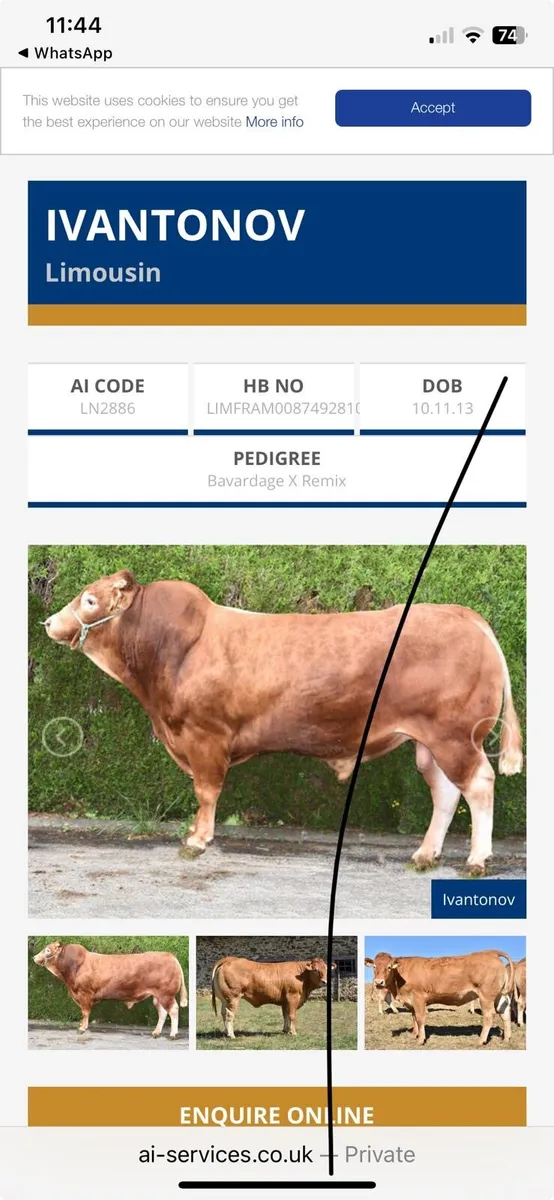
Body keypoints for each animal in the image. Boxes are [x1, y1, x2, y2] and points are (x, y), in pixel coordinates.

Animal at [33, 942, 187, 1038]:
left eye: (47, 950)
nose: (34, 957)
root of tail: (171, 956)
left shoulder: (84, 994)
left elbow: (85, 1012)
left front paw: (82, 1028)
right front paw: (82, 1026)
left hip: (166, 994)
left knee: (173, 1010)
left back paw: (173, 1034)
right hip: (157, 996)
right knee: (162, 1012)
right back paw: (156, 1032)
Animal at [42, 570, 523, 873]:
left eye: (89, 599)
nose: (48, 622)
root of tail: (464, 615)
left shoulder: (204, 735)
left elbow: (205, 791)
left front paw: (198, 840)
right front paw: (195, 835)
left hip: (455, 735)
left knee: (478, 783)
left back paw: (476, 860)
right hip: (430, 742)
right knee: (445, 791)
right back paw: (425, 854)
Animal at [364, 951, 514, 1046]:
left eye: (389, 967)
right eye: (374, 966)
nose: (378, 982)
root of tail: (491, 953)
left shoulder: (419, 998)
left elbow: (420, 1018)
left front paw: (421, 1040)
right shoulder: (411, 1002)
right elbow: (414, 1017)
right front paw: (414, 1035)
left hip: (486, 996)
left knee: (489, 1016)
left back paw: (481, 1040)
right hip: (499, 995)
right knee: (505, 1013)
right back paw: (506, 1038)